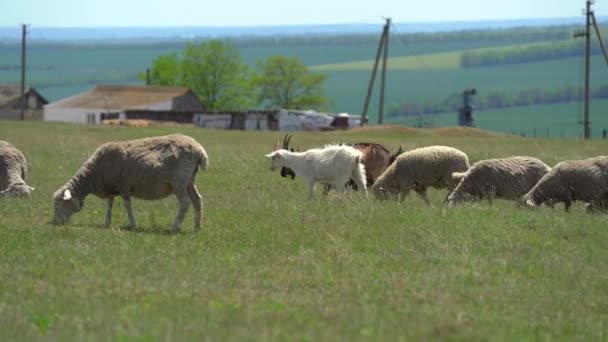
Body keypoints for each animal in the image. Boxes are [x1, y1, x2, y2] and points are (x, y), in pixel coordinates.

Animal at [52, 133, 209, 232]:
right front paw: (107, 222)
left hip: (179, 181)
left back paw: (174, 227)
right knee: (197, 200)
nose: (55, 223)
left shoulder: (124, 186)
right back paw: (197, 227)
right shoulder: (111, 187)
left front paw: (132, 224)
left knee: (185, 203)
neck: (93, 174)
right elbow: (109, 204)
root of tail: (199, 149)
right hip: (190, 180)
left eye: (59, 204)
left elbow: (127, 205)